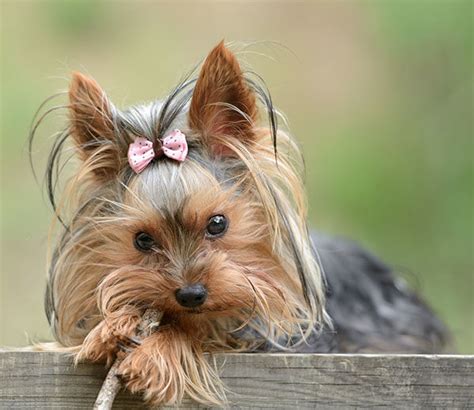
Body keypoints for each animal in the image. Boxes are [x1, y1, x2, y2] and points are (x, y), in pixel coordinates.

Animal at [32, 42, 448, 406]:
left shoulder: (277, 336)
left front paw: (158, 350)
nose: (190, 294)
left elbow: (206, 334)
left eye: (218, 223)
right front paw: (113, 325)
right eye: (142, 240)